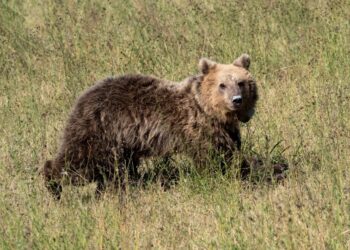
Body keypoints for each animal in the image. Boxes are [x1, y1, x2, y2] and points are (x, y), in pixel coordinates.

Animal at [43, 53, 258, 198]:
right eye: (222, 85)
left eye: (240, 82)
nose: (236, 100)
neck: (209, 109)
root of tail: (82, 99)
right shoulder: (198, 129)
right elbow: (211, 157)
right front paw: (218, 177)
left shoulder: (226, 130)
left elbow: (232, 152)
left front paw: (245, 171)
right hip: (100, 131)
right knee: (80, 163)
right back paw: (53, 186)